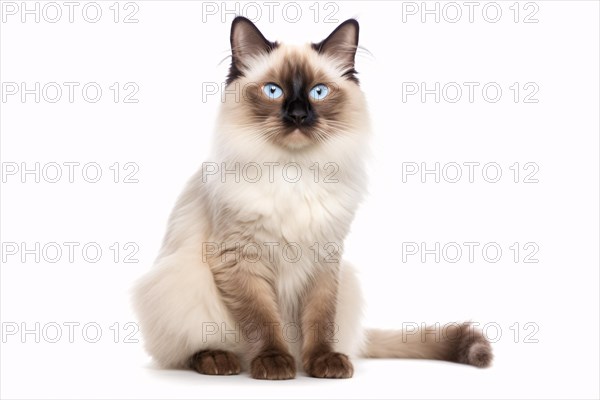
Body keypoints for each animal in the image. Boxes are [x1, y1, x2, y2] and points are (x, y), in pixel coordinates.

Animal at [132, 17, 492, 380]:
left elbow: (320, 320)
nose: (297, 115)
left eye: (318, 92)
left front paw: (323, 362)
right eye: (273, 91)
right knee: (188, 349)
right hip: (179, 281)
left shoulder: (324, 258)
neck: (295, 173)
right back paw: (220, 360)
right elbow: (263, 320)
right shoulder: (241, 258)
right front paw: (274, 363)